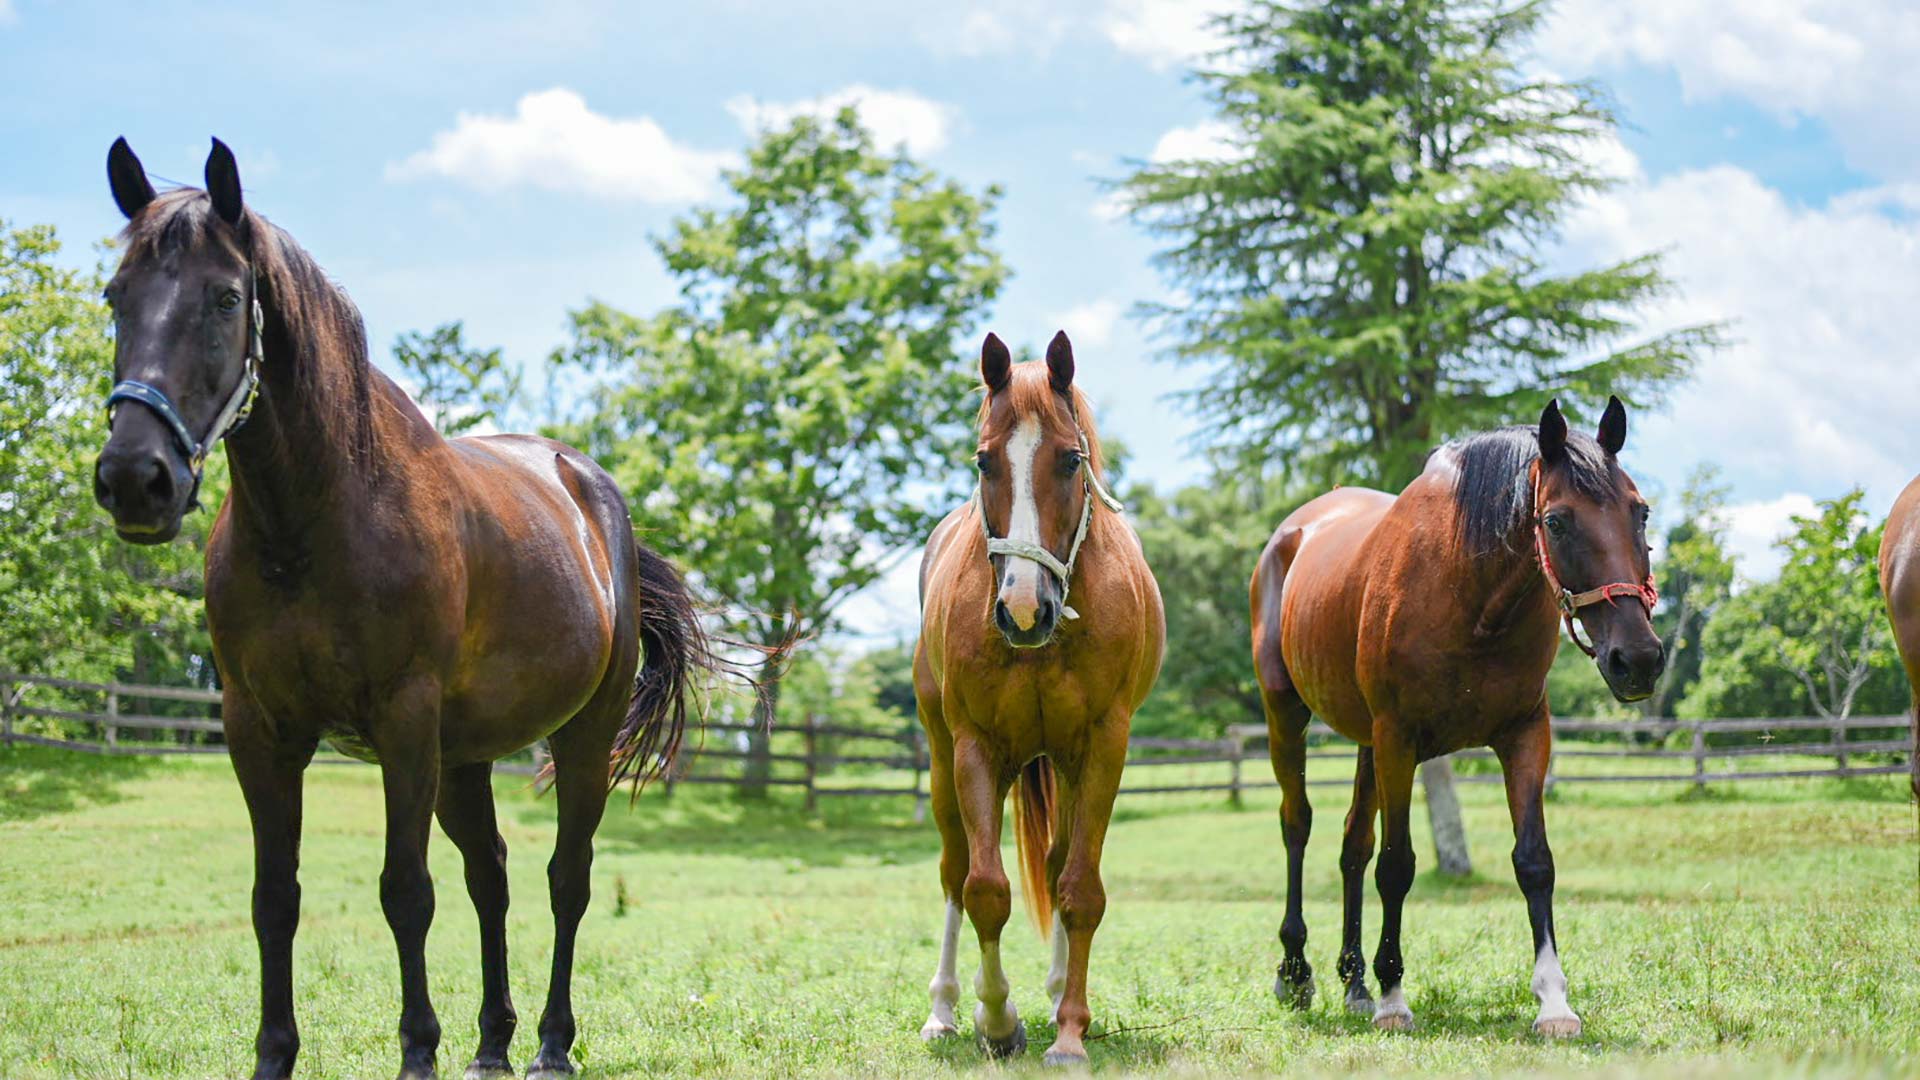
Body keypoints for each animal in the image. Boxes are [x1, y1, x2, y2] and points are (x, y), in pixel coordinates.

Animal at [95, 138, 721, 1076]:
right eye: (116, 296)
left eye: (226, 296)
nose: (137, 479)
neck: (316, 523)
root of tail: (595, 498)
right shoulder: (257, 729)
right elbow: (275, 896)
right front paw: (275, 1054)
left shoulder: (401, 720)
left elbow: (405, 892)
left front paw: (417, 1049)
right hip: (461, 761)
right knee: (491, 876)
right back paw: (492, 1043)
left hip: (577, 737)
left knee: (566, 879)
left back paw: (551, 1042)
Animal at [910, 330, 1159, 1060]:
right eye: (984, 460)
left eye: (1071, 459)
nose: (1024, 609)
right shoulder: (975, 748)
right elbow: (985, 889)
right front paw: (997, 1019)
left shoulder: (1103, 748)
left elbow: (1079, 891)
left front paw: (1070, 1030)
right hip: (943, 761)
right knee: (954, 871)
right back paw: (944, 1008)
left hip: (1066, 766)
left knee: (1053, 866)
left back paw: (1054, 996)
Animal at [1251, 397, 1658, 1037]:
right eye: (1556, 522)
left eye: (1639, 512)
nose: (1637, 659)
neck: (1470, 594)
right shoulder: (1399, 738)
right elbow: (1397, 866)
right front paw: (1394, 998)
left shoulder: (1524, 735)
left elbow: (1534, 862)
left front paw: (1554, 1001)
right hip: (1286, 716)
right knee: (1299, 825)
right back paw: (1297, 973)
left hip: (1366, 743)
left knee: (1352, 844)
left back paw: (1354, 982)